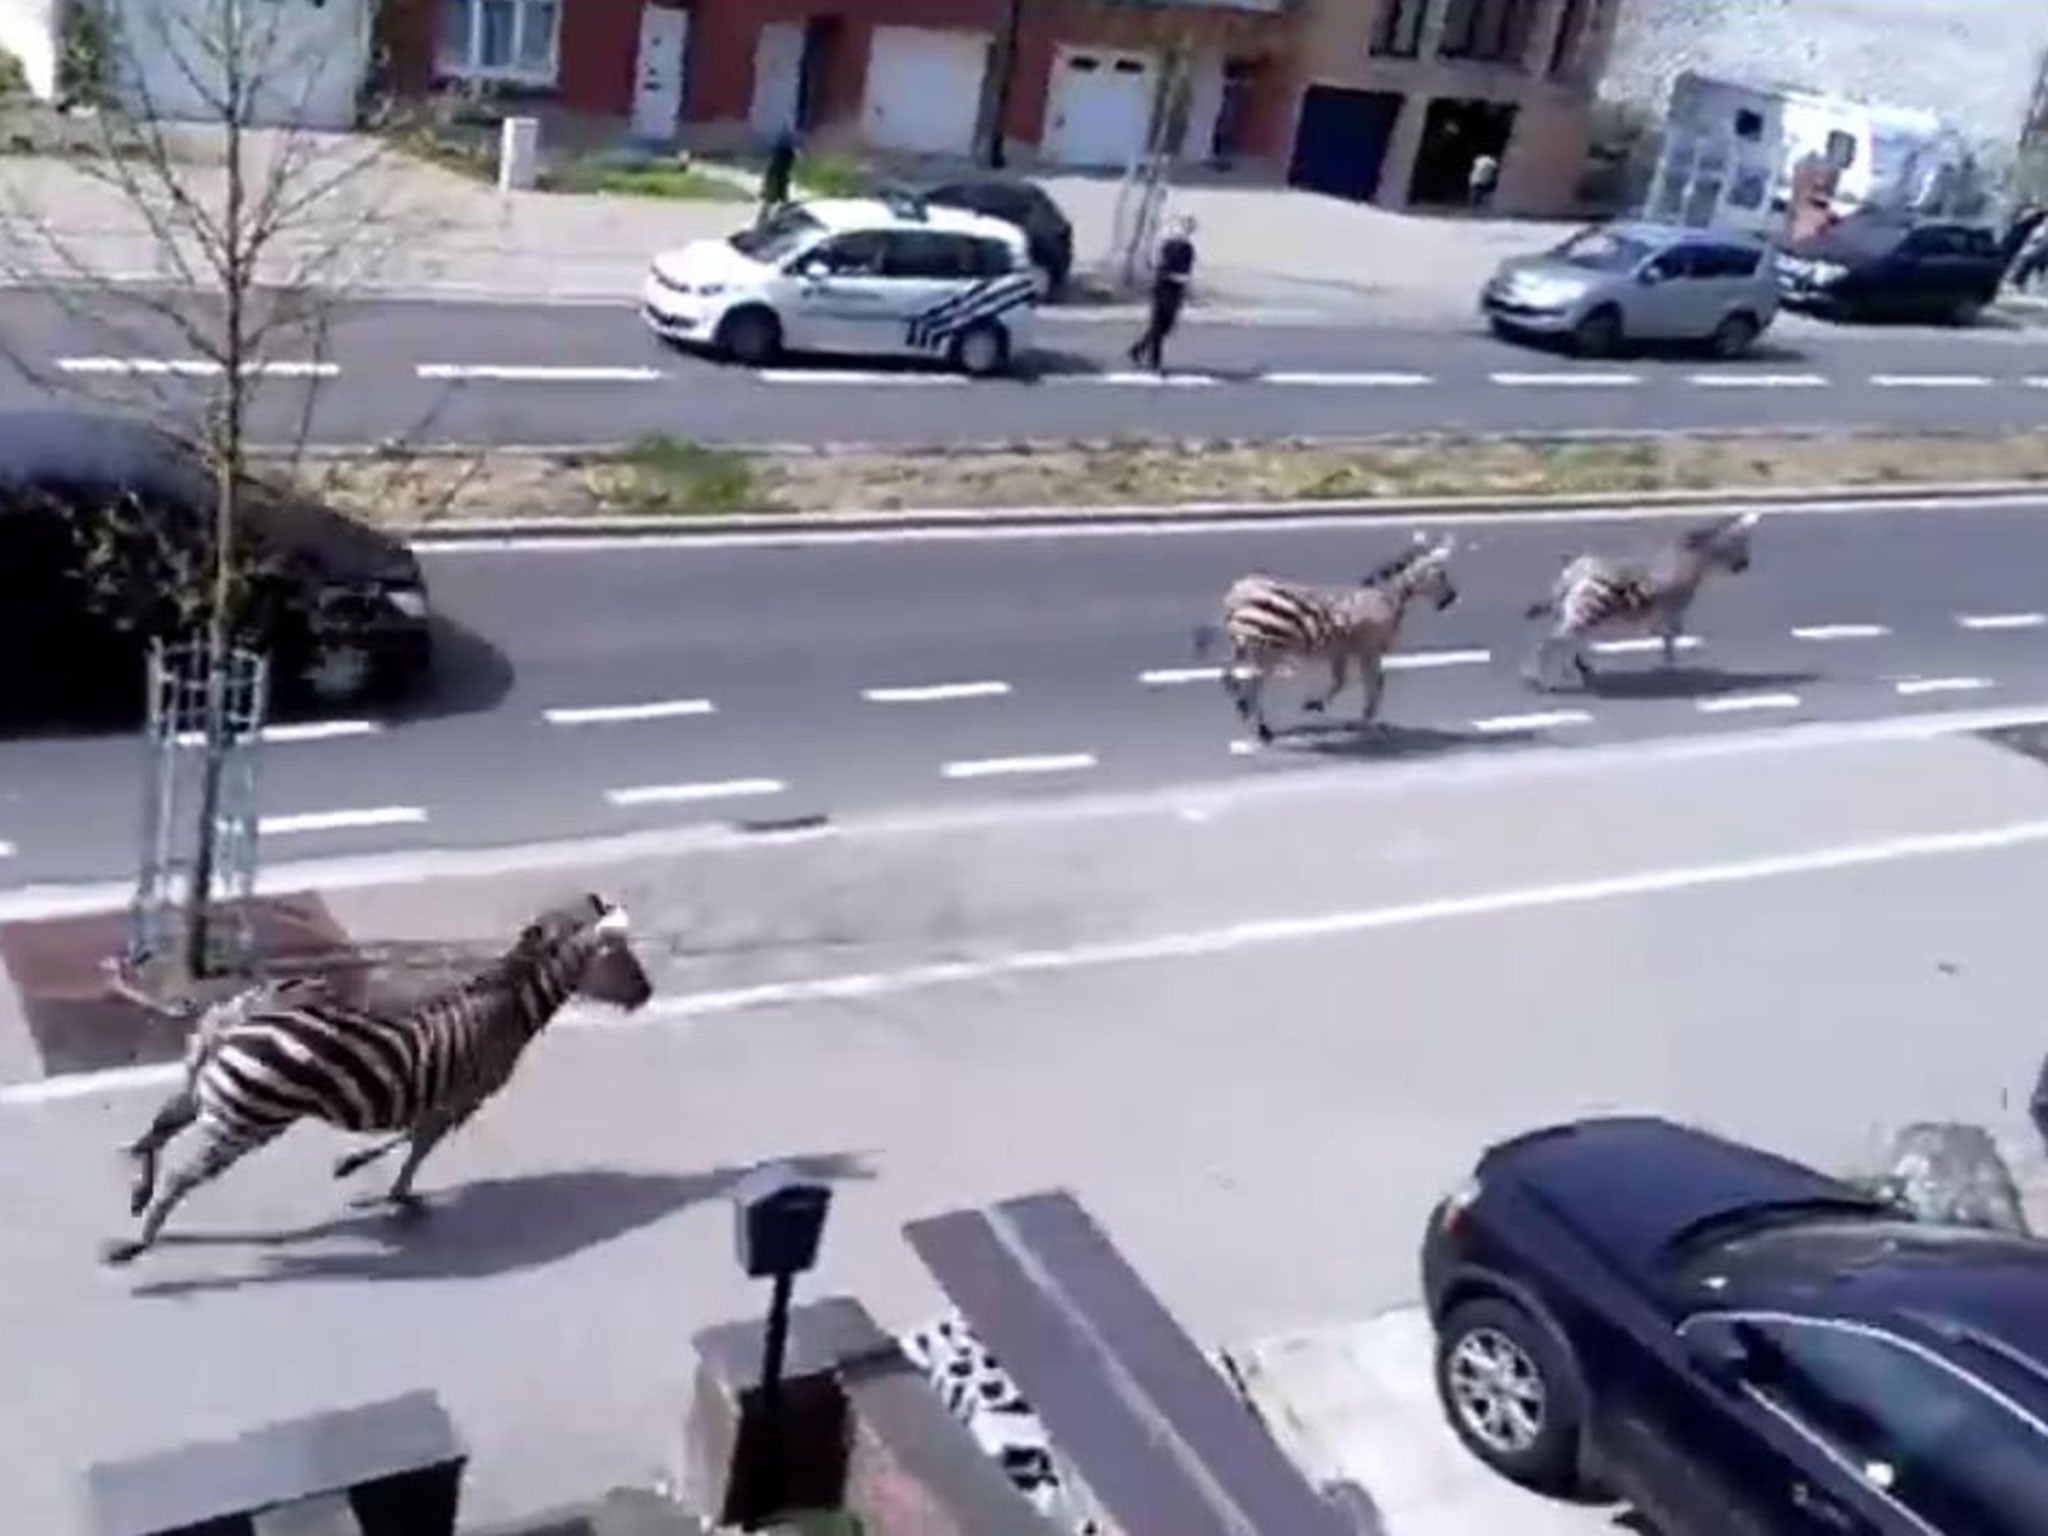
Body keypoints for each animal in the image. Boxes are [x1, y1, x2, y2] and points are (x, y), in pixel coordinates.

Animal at [103, 893, 653, 1265]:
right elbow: (413, 1144)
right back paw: (139, 1241)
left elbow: (409, 1141)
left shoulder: (448, 1098)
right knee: (181, 1172)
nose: (647, 993)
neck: (512, 1003)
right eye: (621, 957)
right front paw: (381, 1185)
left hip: (214, 1092)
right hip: (251, 1116)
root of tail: (236, 1017)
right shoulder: (464, 1096)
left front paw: (369, 1178)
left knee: (156, 1131)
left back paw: (137, 1195)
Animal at [1194, 533, 1458, 743]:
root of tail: (1238, 590)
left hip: (1253, 645)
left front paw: (1317, 705)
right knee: (1249, 681)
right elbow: (1373, 684)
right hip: (1264, 647)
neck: (1386, 598)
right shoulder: (1368, 649)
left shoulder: (1343, 651)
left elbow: (1343, 682)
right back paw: (1259, 724)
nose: (1451, 599)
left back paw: (1247, 710)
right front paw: (1366, 721)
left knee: (1232, 673)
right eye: (1442, 574)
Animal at [1522, 511, 1758, 691]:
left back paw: (1571, 674)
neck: (1693, 564)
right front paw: (1671, 668)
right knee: (1551, 644)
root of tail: (1573, 572)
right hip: (1585, 613)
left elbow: (1666, 639)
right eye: (1740, 545)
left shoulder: (1663, 617)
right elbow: (1670, 640)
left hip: (1580, 615)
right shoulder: (1670, 614)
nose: (1746, 565)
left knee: (1565, 643)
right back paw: (1542, 680)